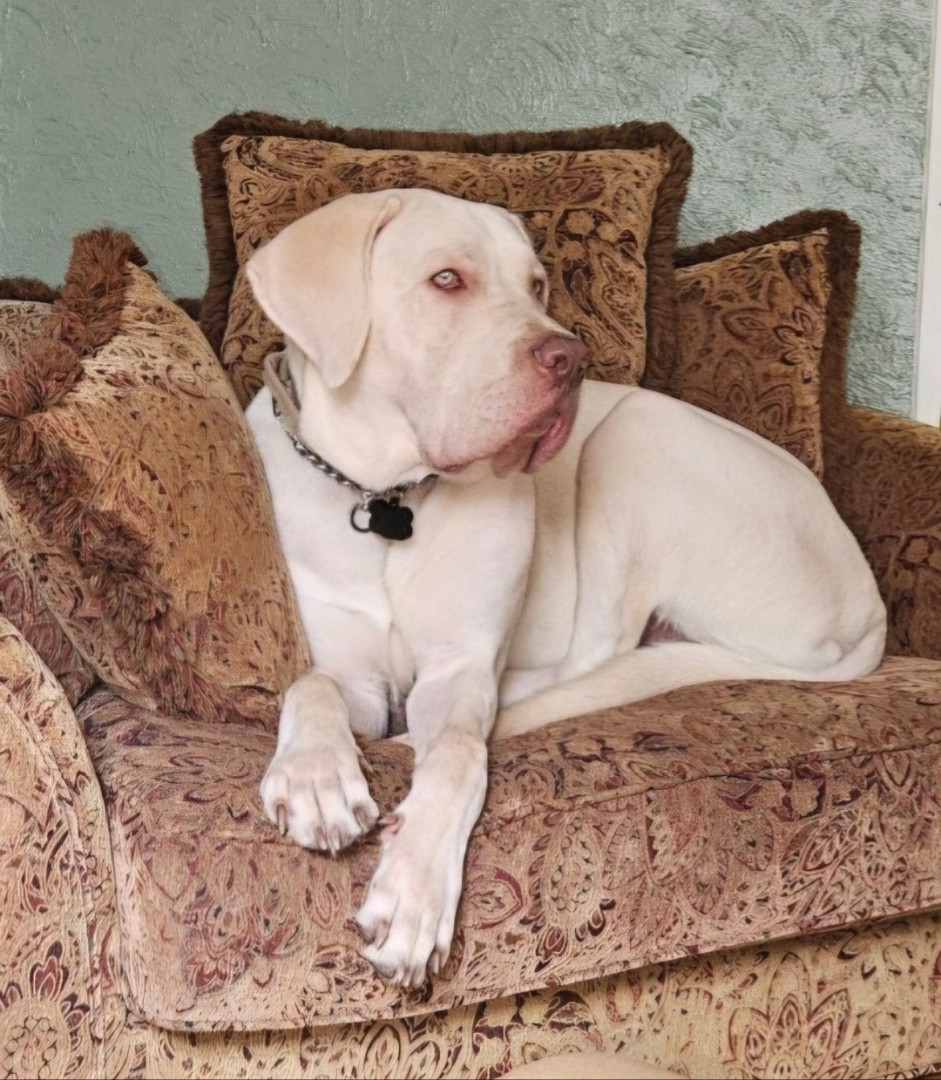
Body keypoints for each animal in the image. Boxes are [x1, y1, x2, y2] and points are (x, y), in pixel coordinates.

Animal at [244, 188, 886, 988]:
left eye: (537, 286)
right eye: (446, 280)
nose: (569, 358)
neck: (387, 500)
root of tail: (866, 599)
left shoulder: (457, 671)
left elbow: (460, 753)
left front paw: (415, 890)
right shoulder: (356, 678)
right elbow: (313, 684)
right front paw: (315, 777)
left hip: (636, 436)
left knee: (596, 655)